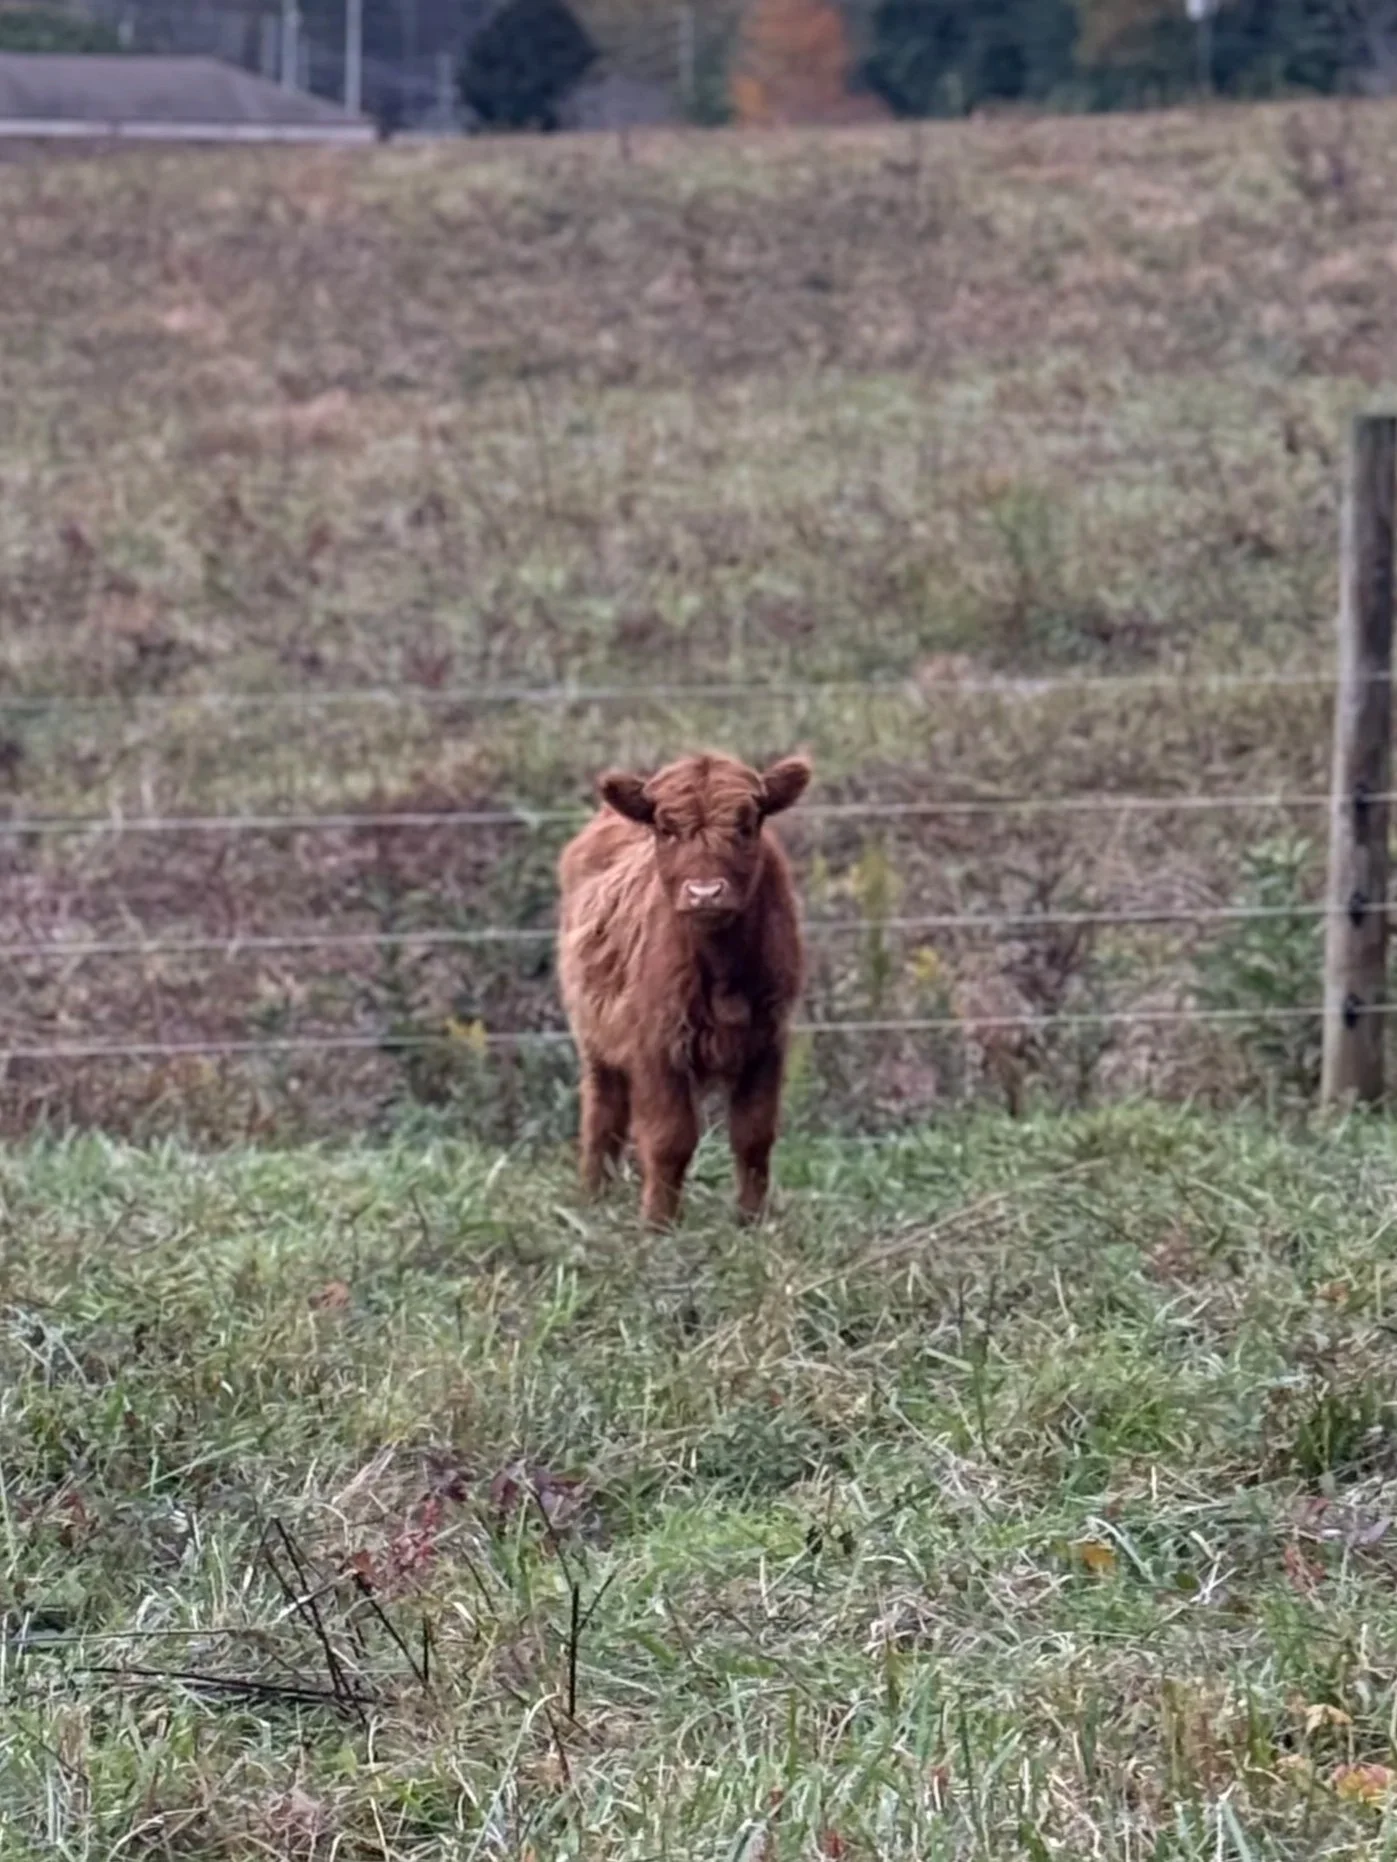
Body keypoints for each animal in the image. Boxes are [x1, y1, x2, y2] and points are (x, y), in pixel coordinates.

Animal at [557, 749, 812, 1226]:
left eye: (746, 824)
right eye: (666, 828)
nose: (705, 892)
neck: (723, 971)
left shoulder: (767, 1041)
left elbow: (753, 1136)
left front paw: (752, 1220)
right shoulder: (656, 1046)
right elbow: (669, 1140)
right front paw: (659, 1224)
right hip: (593, 1034)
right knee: (602, 1113)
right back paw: (593, 1197)